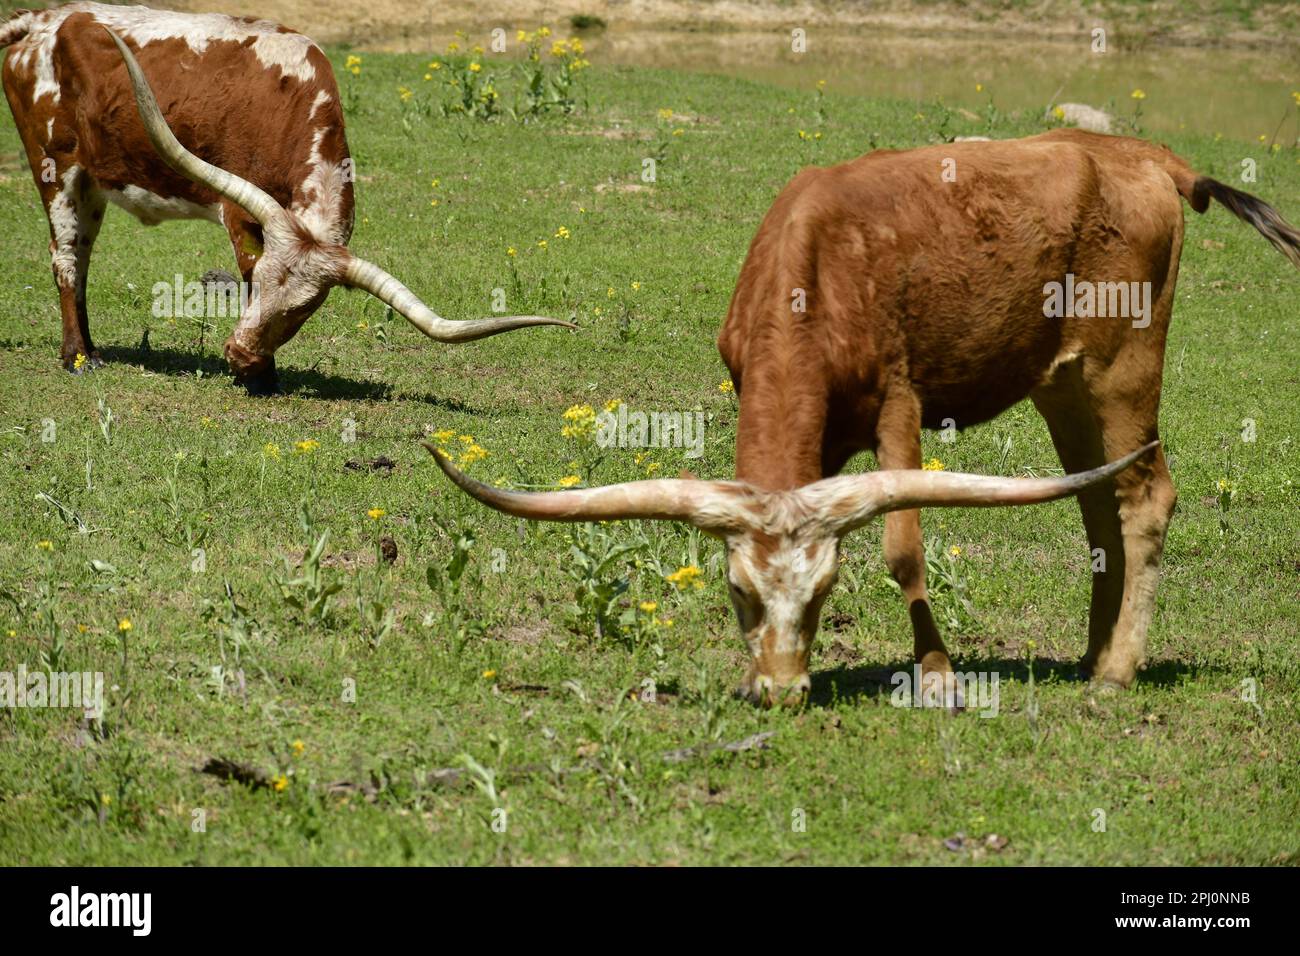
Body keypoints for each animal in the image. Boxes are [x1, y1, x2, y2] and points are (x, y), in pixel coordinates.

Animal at [1, 4, 571, 394]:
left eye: (302, 311)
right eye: (258, 288)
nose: (237, 355)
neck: (290, 100)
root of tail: (46, 19)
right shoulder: (238, 214)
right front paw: (261, 376)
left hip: (93, 181)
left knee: (82, 257)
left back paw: (89, 348)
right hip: (56, 166)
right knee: (66, 257)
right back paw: (78, 358)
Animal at [426, 129, 1299, 706]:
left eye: (823, 593)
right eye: (738, 592)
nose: (779, 691)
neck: (814, 269)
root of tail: (1148, 155)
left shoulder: (899, 404)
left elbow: (904, 548)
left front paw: (939, 676)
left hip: (1124, 368)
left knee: (1145, 497)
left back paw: (1116, 674)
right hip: (1063, 385)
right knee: (1097, 504)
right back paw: (1093, 652)